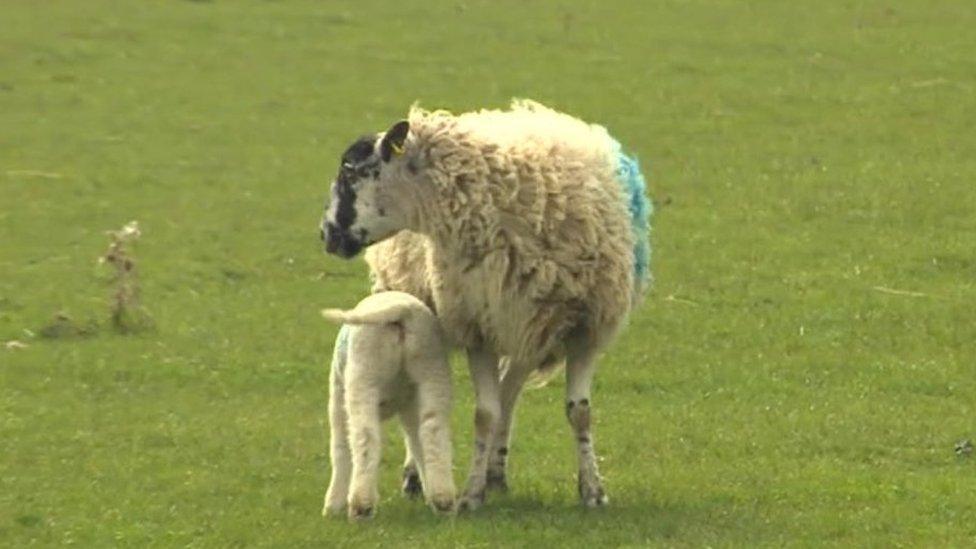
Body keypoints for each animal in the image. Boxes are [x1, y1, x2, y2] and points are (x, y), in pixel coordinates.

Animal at [320, 292, 458, 520]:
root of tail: (401, 311)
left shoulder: (337, 395)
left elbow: (339, 448)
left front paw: (332, 505)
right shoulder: (410, 406)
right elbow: (416, 444)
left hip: (363, 373)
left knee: (365, 437)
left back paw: (361, 506)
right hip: (432, 369)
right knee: (432, 433)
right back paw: (443, 500)